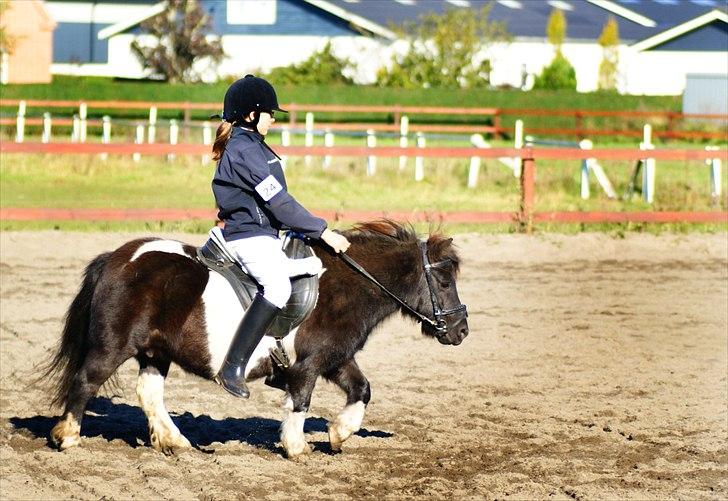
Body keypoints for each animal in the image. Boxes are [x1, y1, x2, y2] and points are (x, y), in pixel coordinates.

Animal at [42, 221, 470, 456]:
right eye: (444, 281)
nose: (461, 330)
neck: (346, 286)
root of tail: (117, 257)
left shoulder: (336, 358)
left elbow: (362, 390)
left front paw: (338, 434)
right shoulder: (309, 364)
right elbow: (300, 402)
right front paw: (297, 446)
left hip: (155, 351)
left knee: (149, 394)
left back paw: (174, 441)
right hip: (113, 346)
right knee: (86, 381)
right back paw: (68, 436)